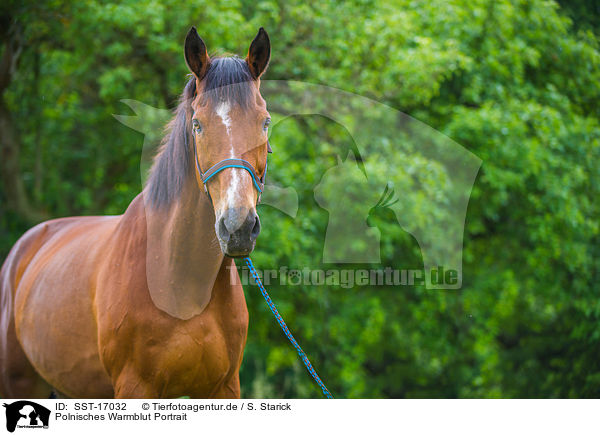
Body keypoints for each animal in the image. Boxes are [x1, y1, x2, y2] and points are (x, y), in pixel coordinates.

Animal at [0, 24, 272, 398]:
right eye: (198, 124)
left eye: (265, 122)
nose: (238, 226)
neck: (180, 280)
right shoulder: (135, 386)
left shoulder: (223, 388)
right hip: (19, 382)